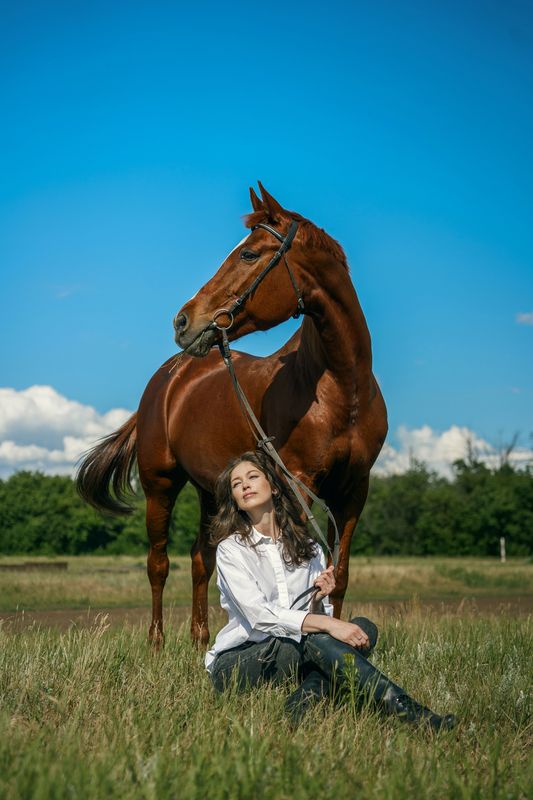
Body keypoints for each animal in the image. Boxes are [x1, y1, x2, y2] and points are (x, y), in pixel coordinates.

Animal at [76, 182, 388, 648]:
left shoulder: (353, 491)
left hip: (211, 489)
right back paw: (157, 642)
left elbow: (339, 575)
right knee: (158, 563)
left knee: (201, 558)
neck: (342, 389)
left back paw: (200, 638)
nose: (183, 321)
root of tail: (170, 377)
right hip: (160, 484)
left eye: (249, 254)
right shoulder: (297, 482)